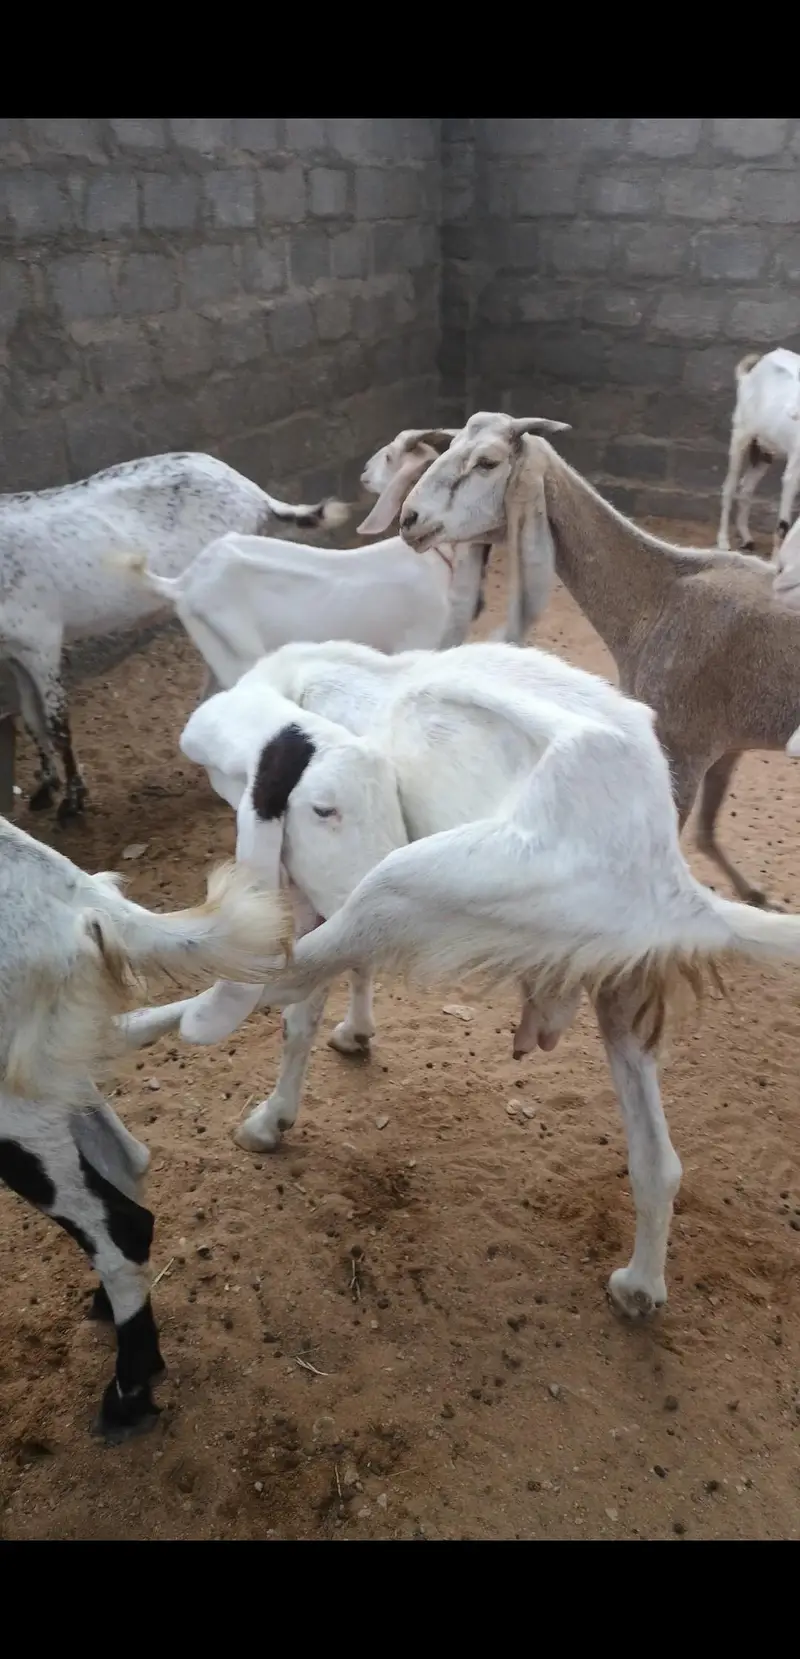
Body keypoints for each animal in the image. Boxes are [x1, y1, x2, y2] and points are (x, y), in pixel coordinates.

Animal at [0, 451, 348, 821]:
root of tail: (252, 492)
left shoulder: (42, 641)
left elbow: (57, 724)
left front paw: (72, 803)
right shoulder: (14, 653)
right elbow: (31, 718)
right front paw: (45, 789)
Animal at [0, 815, 288, 1440]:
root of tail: (80, 898)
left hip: (12, 1101)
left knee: (122, 1224)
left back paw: (128, 1394)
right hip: (50, 1067)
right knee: (125, 1163)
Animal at [125, 640, 800, 1320]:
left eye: (325, 807)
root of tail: (665, 879)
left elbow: (299, 1006)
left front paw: (272, 1119)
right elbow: (335, 986)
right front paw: (354, 1033)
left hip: (418, 883)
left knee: (286, 976)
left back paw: (147, 1024)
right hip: (616, 980)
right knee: (658, 1161)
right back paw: (639, 1288)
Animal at [398, 410, 800, 912]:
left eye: (487, 462)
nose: (409, 519)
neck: (661, 597)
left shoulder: (683, 745)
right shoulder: (725, 743)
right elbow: (705, 834)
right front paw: (756, 895)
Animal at [718, 349, 800, 556]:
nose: (792, 413)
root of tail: (747, 377)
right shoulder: (794, 470)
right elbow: (783, 525)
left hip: (764, 452)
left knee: (746, 487)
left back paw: (747, 539)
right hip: (741, 436)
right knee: (729, 487)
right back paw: (722, 542)